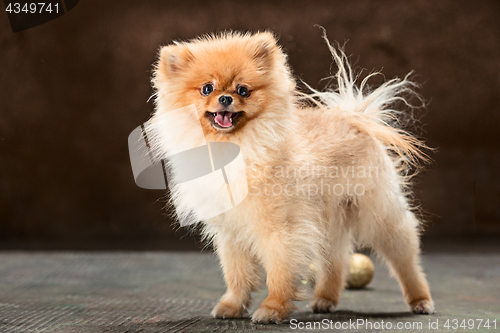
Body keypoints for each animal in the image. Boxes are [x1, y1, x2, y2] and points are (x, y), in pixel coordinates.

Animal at [145, 30, 434, 322]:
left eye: (243, 90)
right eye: (207, 88)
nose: (225, 98)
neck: (233, 146)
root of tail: (353, 118)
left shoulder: (281, 229)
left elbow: (279, 271)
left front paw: (273, 308)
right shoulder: (231, 231)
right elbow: (237, 273)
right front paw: (233, 305)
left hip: (377, 211)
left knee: (404, 253)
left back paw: (420, 299)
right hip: (328, 220)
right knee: (336, 259)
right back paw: (325, 298)